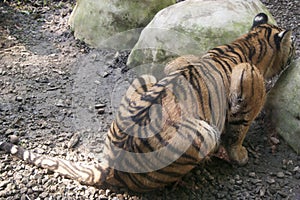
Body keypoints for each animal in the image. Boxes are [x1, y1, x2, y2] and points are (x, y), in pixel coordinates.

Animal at [0, 12, 296, 192]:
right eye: (292, 46)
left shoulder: (177, 64)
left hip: (144, 79)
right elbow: (238, 132)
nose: (295, 54)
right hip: (205, 132)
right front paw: (241, 156)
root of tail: (111, 166)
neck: (247, 42)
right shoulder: (248, 86)